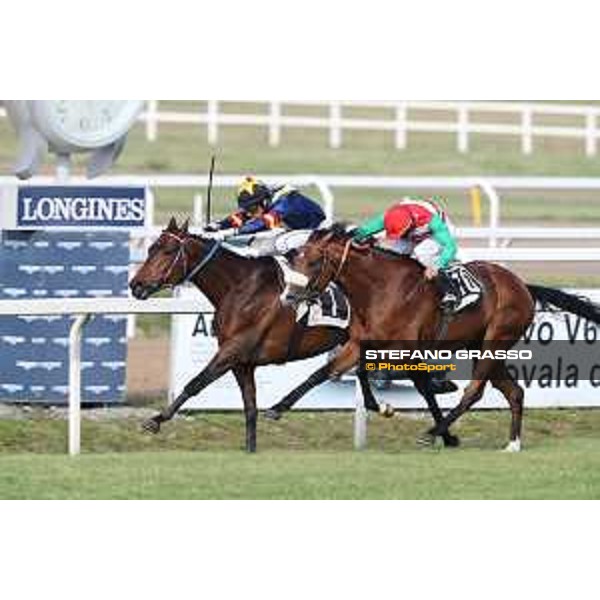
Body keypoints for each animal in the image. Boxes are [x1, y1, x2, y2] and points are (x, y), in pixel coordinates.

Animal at [129, 218, 400, 452]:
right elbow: (250, 408)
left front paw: (156, 420)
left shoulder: (233, 350)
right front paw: (251, 449)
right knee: (361, 369)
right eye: (151, 248)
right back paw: (379, 405)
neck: (240, 287)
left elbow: (196, 383)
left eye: (168, 250)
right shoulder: (242, 362)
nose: (136, 285)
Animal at [268, 224, 600, 450]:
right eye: (294, 259)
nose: (288, 296)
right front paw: (277, 408)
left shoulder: (405, 351)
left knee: (474, 391)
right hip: (483, 346)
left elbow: (421, 385)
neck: (381, 290)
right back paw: (512, 443)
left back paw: (432, 433)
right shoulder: (360, 344)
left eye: (313, 262)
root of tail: (523, 286)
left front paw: (442, 432)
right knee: (514, 391)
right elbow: (323, 372)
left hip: (495, 341)